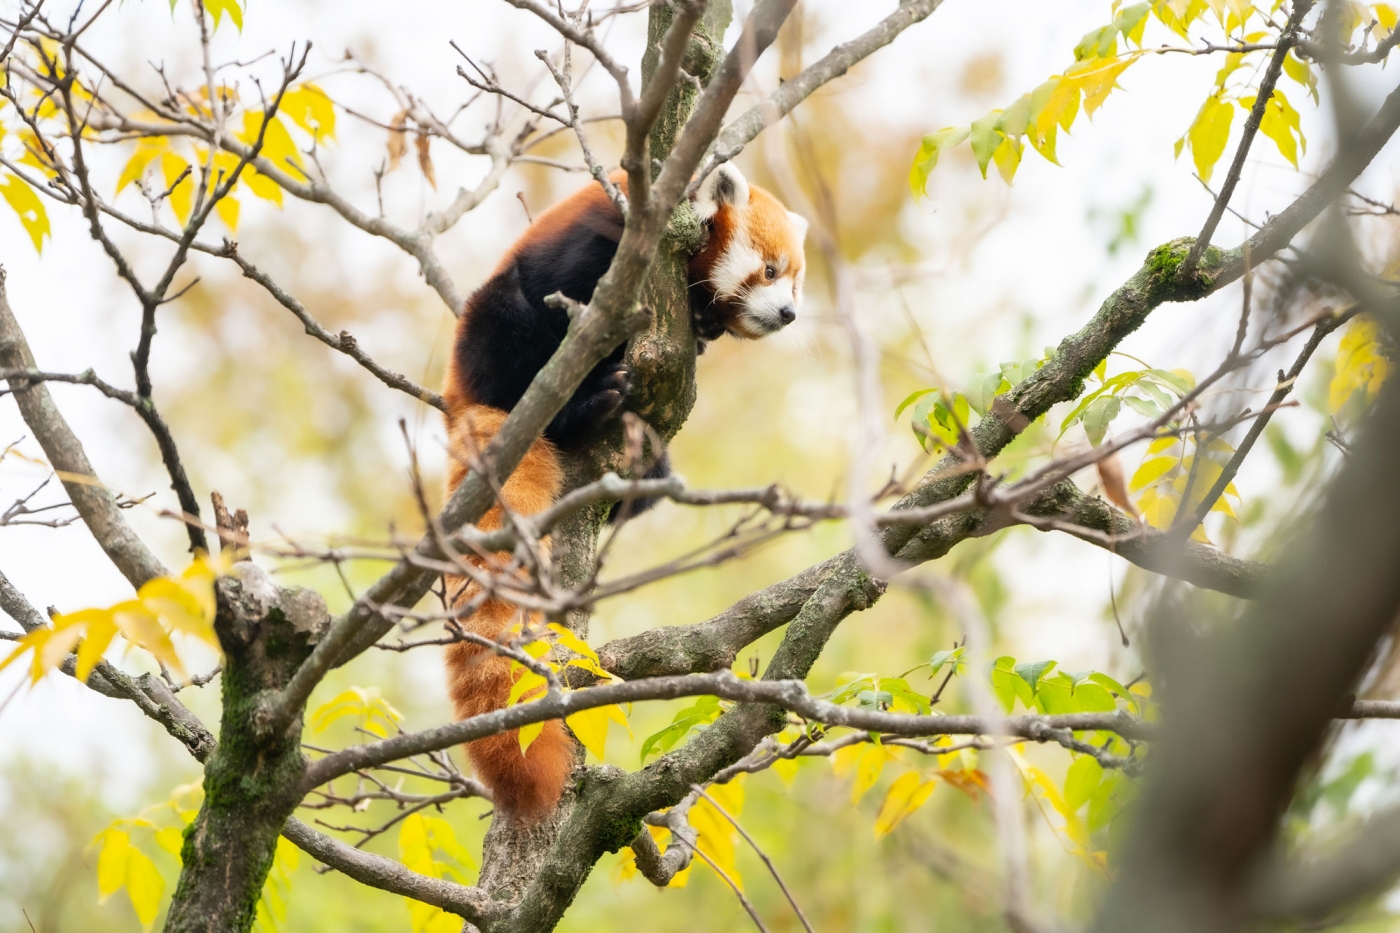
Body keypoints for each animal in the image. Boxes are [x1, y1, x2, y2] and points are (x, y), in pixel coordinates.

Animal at [436, 163, 812, 818]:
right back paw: (581, 405)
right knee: (516, 333)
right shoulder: (604, 236)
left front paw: (707, 325)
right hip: (493, 334)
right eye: (769, 270)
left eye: (795, 279)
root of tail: (466, 394)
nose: (789, 314)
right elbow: (573, 288)